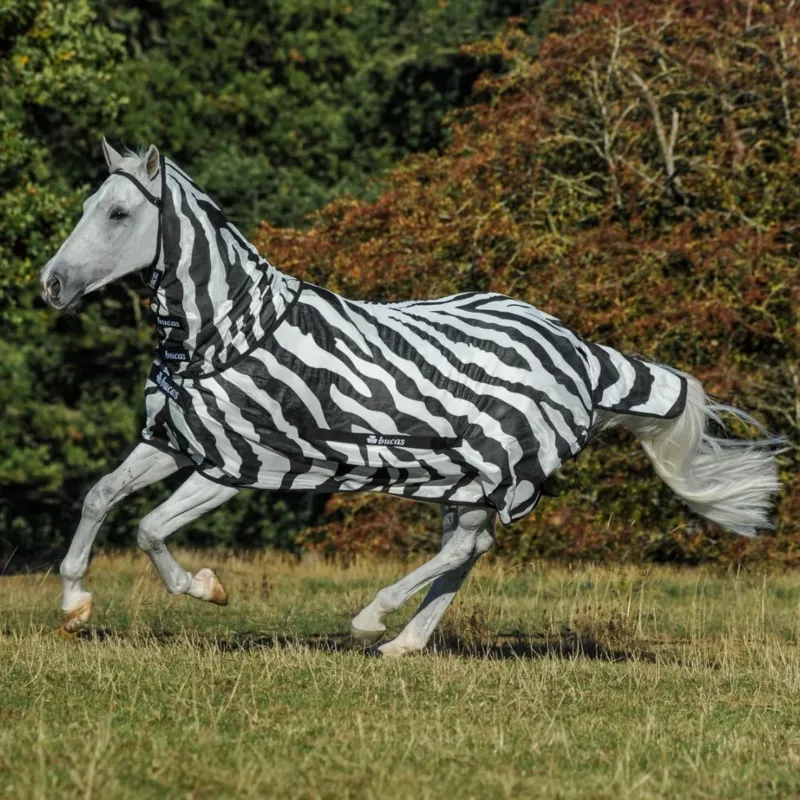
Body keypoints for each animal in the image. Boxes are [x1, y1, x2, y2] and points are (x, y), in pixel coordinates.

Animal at [39, 141, 782, 657]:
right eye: (85, 207)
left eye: (118, 213)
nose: (51, 284)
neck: (225, 332)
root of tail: (581, 352)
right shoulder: (173, 442)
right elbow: (100, 499)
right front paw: (75, 604)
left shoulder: (238, 463)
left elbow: (148, 528)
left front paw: (206, 588)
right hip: (467, 477)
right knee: (471, 548)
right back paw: (404, 642)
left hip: (494, 467)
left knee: (465, 547)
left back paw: (373, 620)